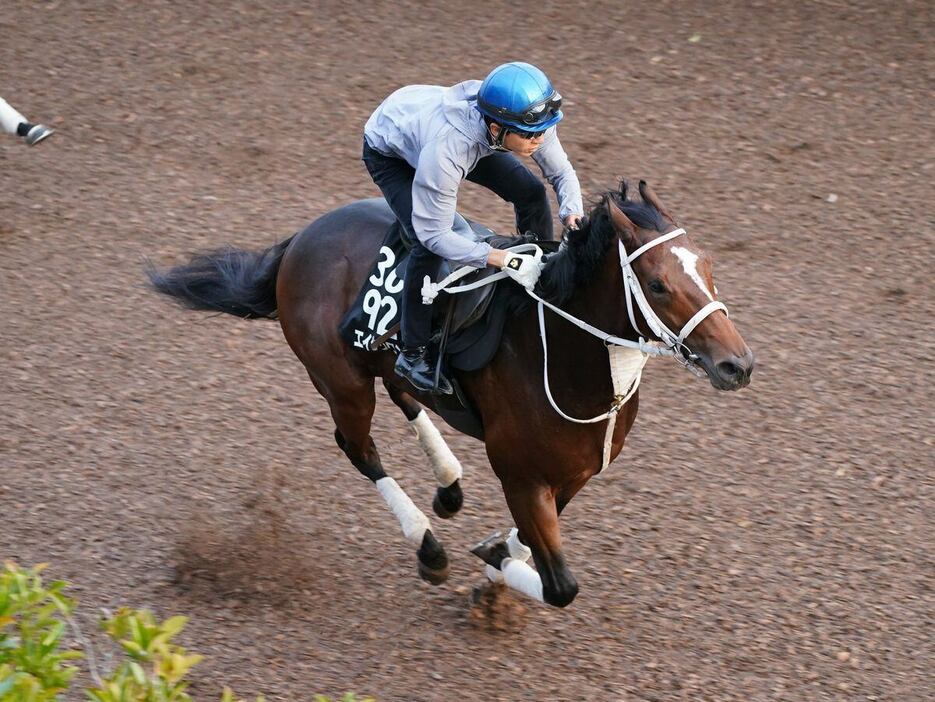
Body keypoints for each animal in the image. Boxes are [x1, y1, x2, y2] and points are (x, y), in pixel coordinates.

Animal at [150, 182, 756, 612]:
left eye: (707, 265)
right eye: (657, 284)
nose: (738, 364)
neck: (564, 353)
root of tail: (299, 240)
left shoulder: (574, 473)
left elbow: (528, 540)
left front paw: (494, 558)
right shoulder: (521, 473)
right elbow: (560, 585)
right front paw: (490, 566)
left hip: (379, 360)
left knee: (405, 392)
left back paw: (449, 485)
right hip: (339, 379)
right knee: (358, 447)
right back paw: (429, 546)